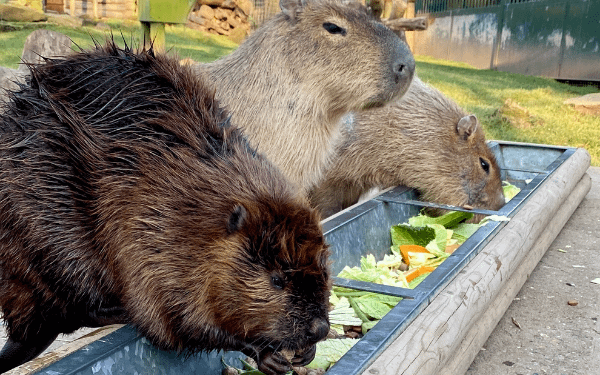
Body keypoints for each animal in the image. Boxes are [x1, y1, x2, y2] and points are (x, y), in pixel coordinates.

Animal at [0, 41, 328, 375]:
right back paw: (117, 310)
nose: (320, 329)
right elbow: (177, 321)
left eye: (325, 269)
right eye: (277, 280)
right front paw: (265, 353)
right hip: (52, 241)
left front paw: (307, 352)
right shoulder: (151, 235)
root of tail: (21, 329)